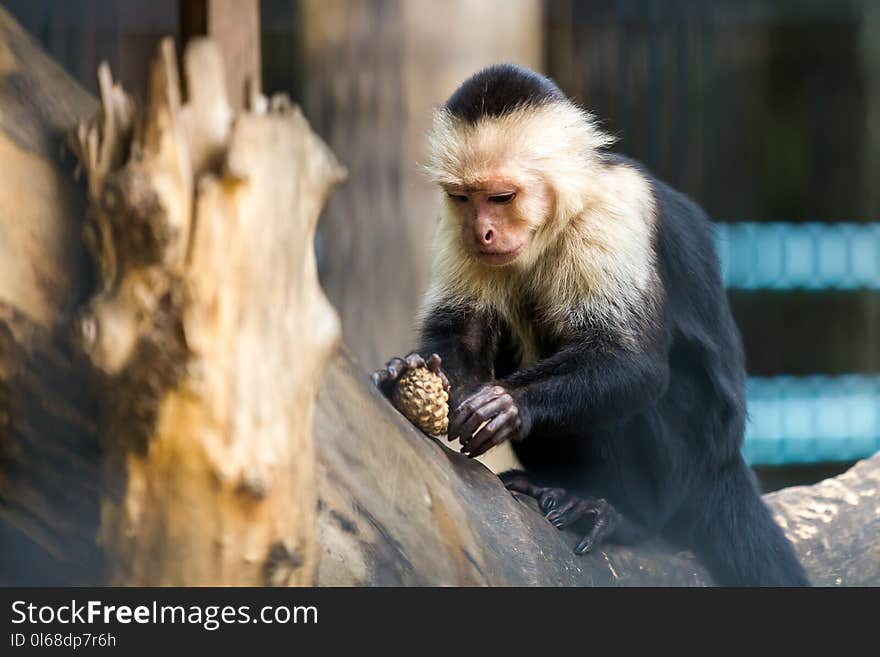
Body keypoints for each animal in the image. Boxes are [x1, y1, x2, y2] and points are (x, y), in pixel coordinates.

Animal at [372, 62, 812, 584]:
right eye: (462, 198)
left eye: (502, 197)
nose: (483, 232)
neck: (558, 218)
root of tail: (724, 465)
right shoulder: (453, 229)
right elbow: (462, 334)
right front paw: (412, 373)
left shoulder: (612, 218)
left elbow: (631, 362)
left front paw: (508, 403)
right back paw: (549, 485)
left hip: (688, 469)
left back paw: (625, 516)